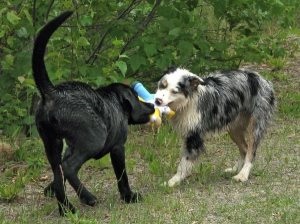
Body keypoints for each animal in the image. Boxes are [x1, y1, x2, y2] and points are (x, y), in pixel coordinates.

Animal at [32, 11, 155, 216]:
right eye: (137, 98)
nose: (152, 106)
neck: (113, 102)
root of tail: (52, 93)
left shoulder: (70, 147)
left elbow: (58, 181)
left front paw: (49, 190)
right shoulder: (118, 147)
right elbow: (122, 176)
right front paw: (129, 197)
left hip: (52, 143)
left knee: (58, 172)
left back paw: (67, 209)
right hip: (93, 140)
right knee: (69, 168)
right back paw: (88, 198)